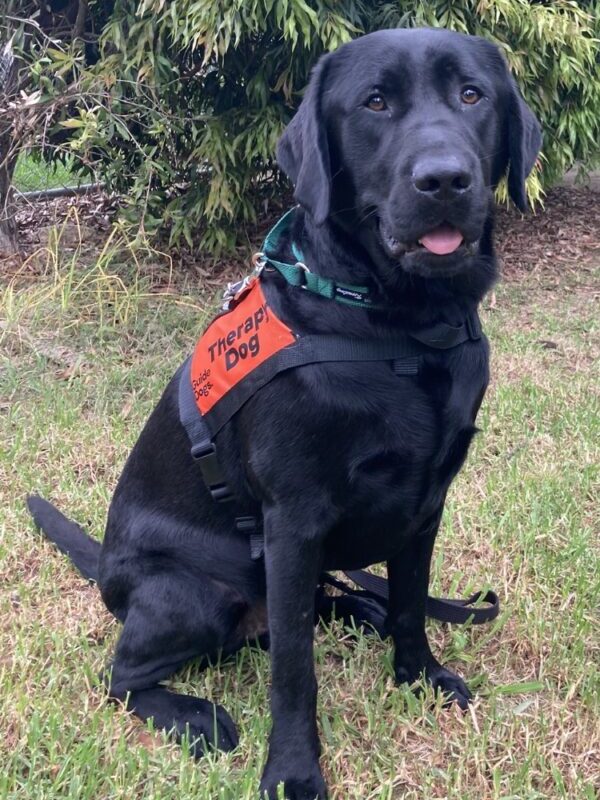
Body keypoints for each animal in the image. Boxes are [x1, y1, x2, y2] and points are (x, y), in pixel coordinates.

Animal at [28, 26, 540, 800]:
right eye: (375, 102)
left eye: (473, 95)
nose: (445, 180)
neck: (402, 329)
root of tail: (108, 574)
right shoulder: (294, 520)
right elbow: (295, 672)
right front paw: (294, 770)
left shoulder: (427, 503)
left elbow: (413, 603)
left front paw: (418, 675)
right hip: (194, 591)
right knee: (123, 677)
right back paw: (194, 717)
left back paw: (363, 610)